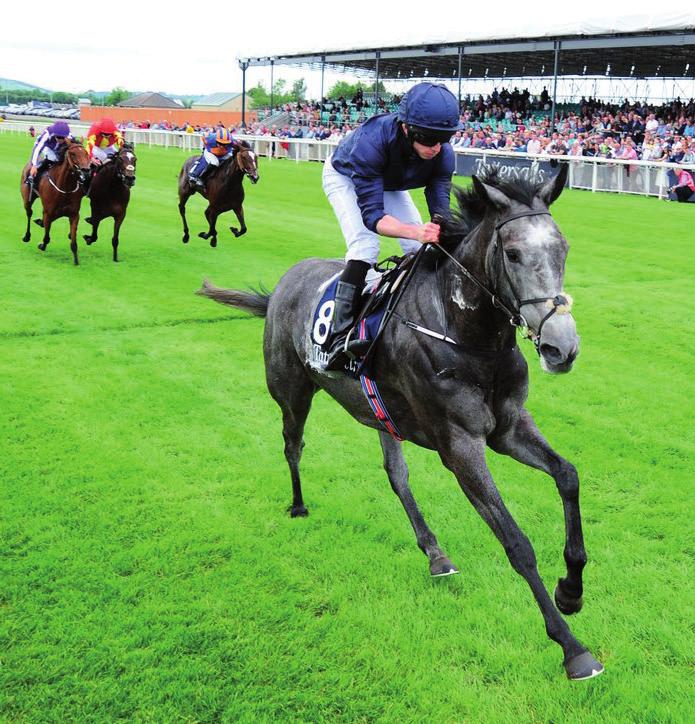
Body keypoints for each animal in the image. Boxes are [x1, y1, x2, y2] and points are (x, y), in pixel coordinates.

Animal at [196, 164, 604, 680]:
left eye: (563, 249)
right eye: (512, 254)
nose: (561, 346)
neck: (463, 332)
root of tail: (281, 287)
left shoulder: (508, 429)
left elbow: (568, 475)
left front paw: (571, 590)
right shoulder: (460, 445)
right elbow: (516, 542)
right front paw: (572, 648)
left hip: (380, 414)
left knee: (397, 475)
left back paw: (435, 553)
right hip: (291, 391)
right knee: (292, 445)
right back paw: (298, 504)